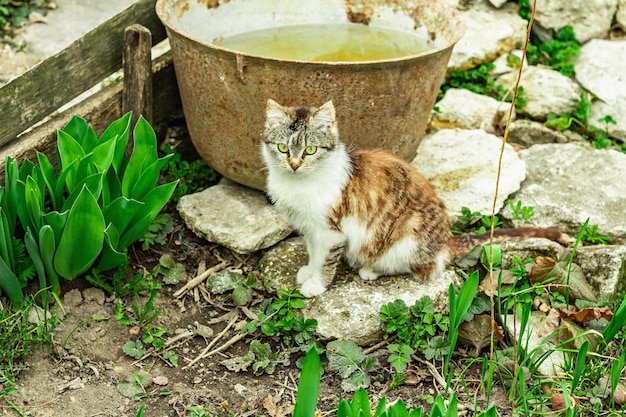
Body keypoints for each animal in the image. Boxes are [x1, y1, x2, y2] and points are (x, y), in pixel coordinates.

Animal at [258, 99, 560, 298]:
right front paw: (308, 271)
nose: (294, 164)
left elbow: (325, 260)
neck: (299, 183)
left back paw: (371, 270)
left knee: (427, 267)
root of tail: (445, 240)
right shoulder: (310, 228)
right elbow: (313, 253)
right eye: (283, 148)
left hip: (406, 234)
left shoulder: (330, 232)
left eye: (310, 150)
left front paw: (316, 284)